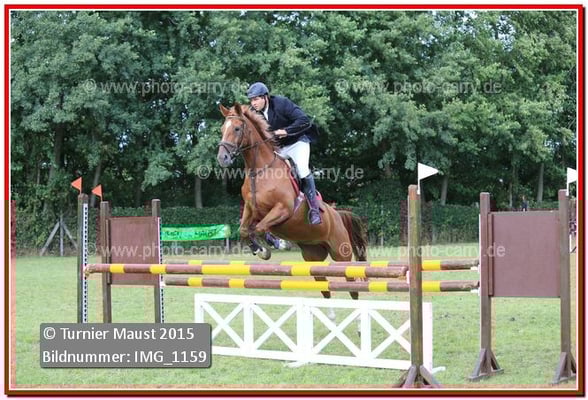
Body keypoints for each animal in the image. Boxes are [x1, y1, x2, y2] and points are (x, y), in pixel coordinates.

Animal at [217, 102, 368, 303]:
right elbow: (244, 230)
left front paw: (275, 245)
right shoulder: (251, 209)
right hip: (313, 256)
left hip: (340, 252)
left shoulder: (283, 209)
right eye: (222, 129)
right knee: (325, 288)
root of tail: (337, 214)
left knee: (352, 284)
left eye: (237, 128)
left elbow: (260, 228)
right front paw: (260, 250)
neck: (260, 171)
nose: (222, 158)